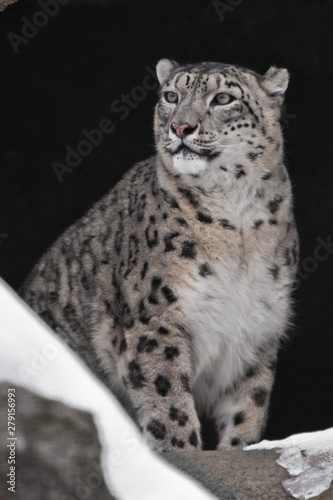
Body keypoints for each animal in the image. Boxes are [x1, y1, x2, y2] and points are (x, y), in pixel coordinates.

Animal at [20, 59, 298, 454]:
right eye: (171, 96)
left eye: (223, 98)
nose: (180, 126)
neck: (237, 222)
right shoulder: (155, 315)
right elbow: (168, 398)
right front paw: (180, 453)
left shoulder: (259, 328)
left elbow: (249, 403)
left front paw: (239, 448)